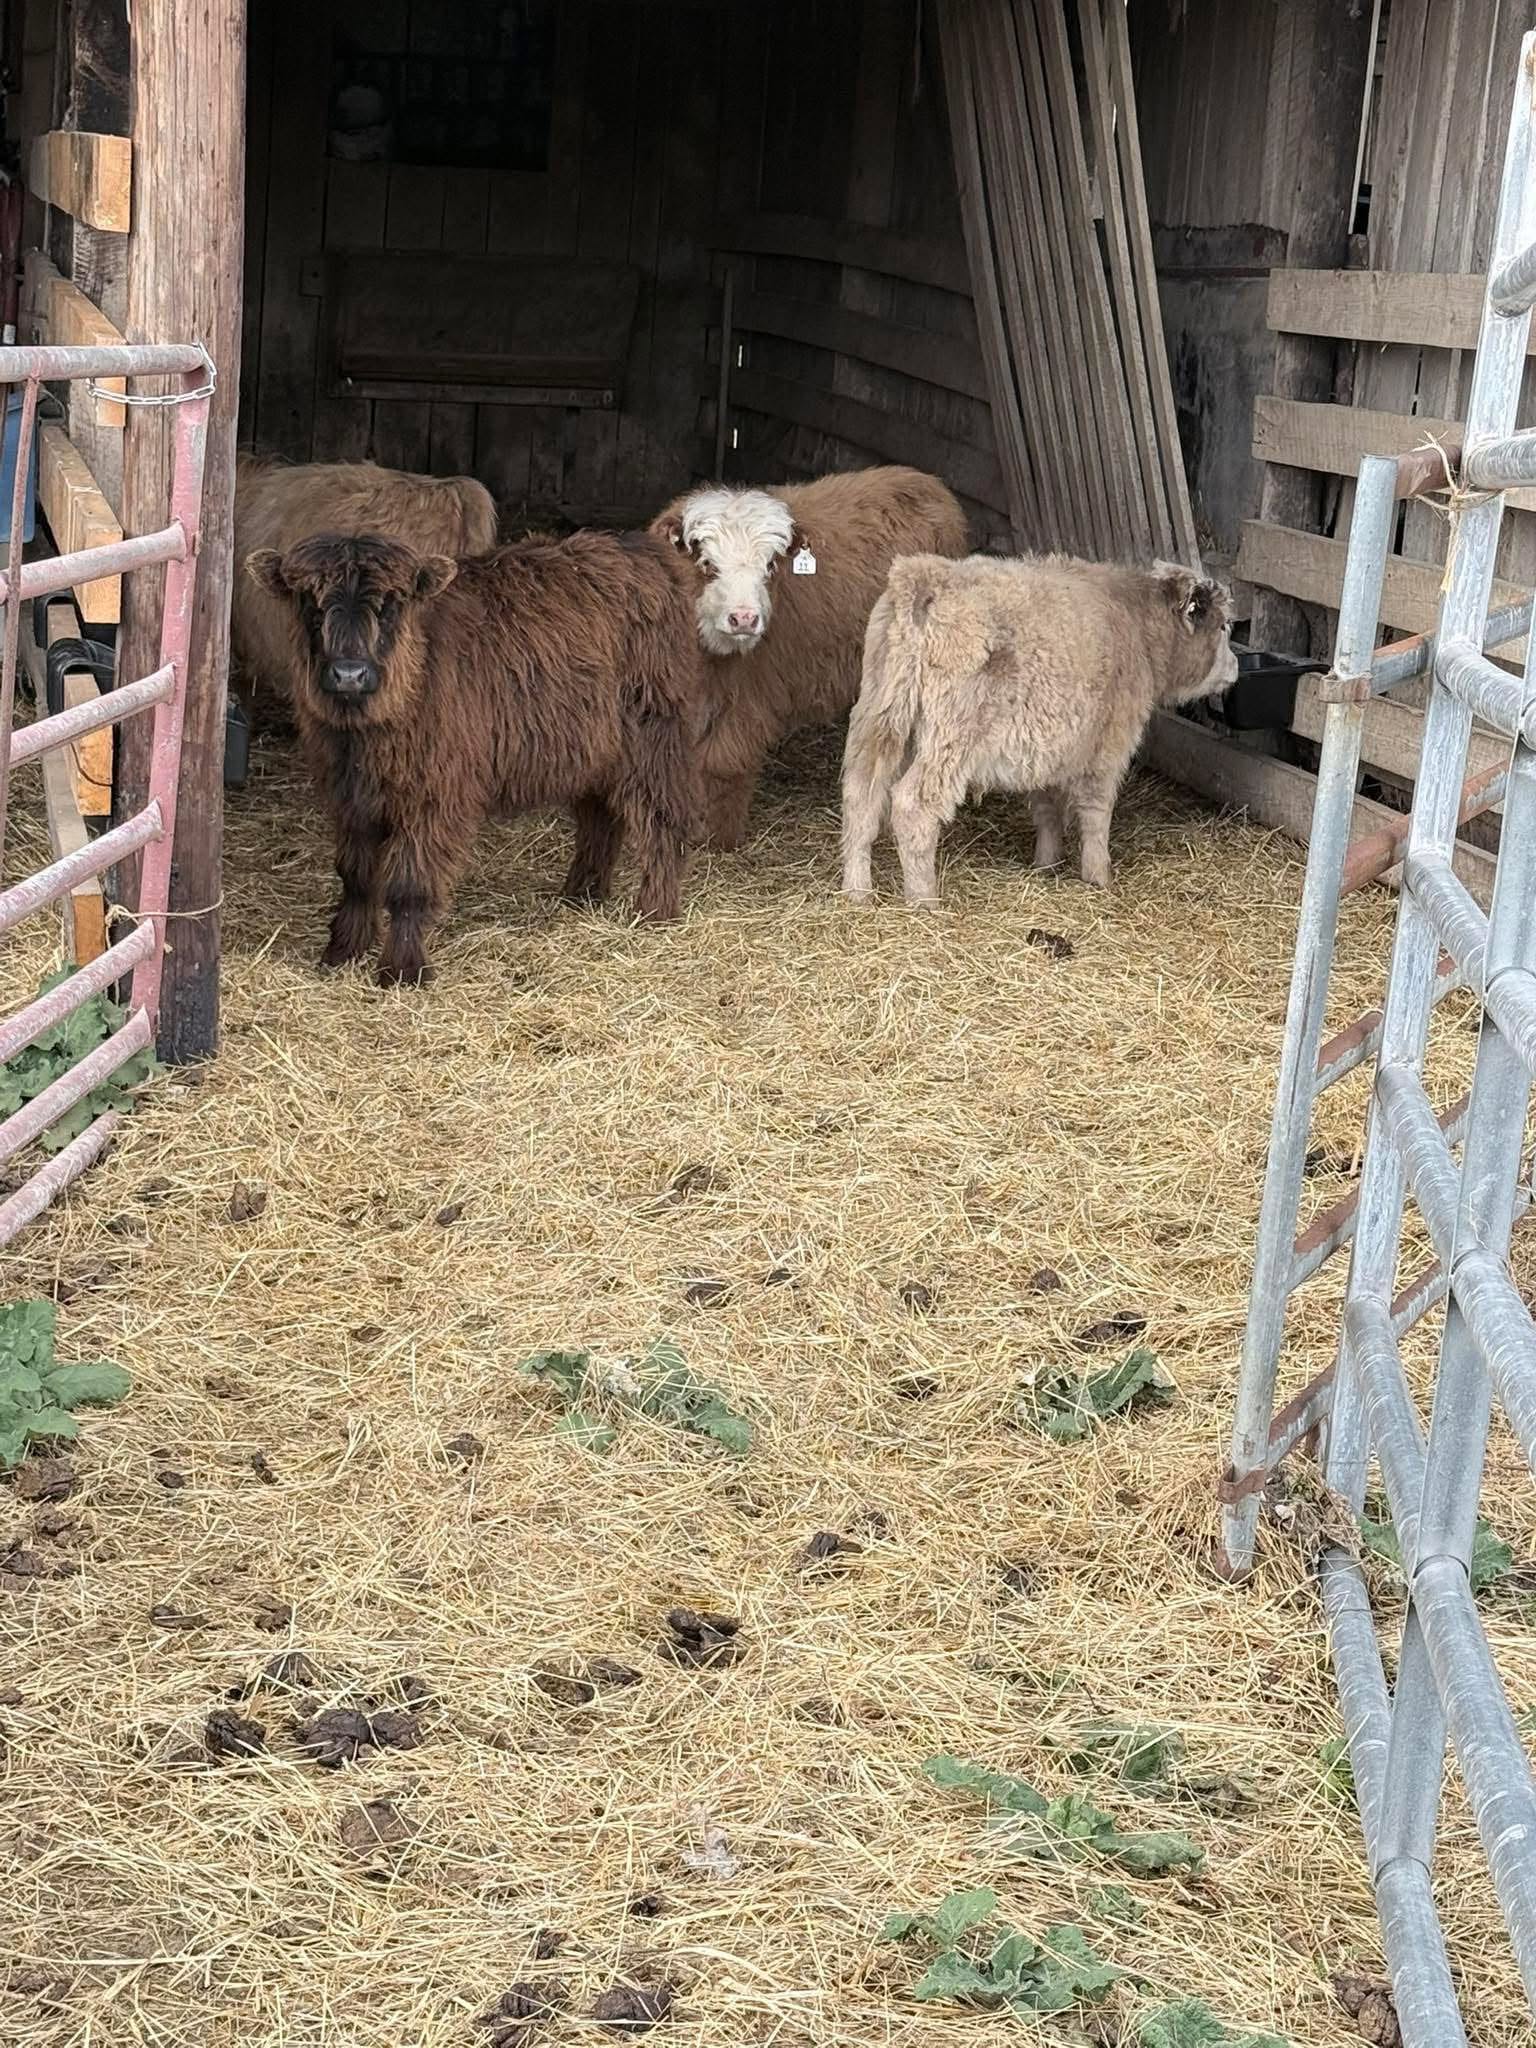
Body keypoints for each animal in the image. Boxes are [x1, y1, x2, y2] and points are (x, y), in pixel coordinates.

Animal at [244, 529, 706, 987]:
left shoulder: (434, 798)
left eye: (391, 604)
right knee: (600, 817)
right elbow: (355, 877)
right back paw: (582, 896)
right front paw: (343, 950)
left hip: (652, 738)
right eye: (311, 602)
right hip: (595, 748)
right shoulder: (350, 800)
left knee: (663, 822)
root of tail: (644, 550)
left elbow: (410, 885)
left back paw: (654, 912)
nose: (349, 674)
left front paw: (402, 969)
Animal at [649, 466, 967, 850]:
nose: (745, 618)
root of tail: (924, 482)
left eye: (770, 564)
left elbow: (723, 761)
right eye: (707, 564)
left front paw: (716, 836)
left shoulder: (750, 701)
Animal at [840, 553, 1238, 904]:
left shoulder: (1048, 744)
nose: (1235, 667)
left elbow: (1047, 805)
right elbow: (1096, 812)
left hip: (877, 722)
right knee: (913, 806)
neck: (1139, 628)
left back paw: (857, 892)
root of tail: (924, 576)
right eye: (1221, 626)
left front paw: (1047, 863)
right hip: (949, 739)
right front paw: (1098, 876)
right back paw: (923, 900)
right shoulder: (1107, 746)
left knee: (860, 798)